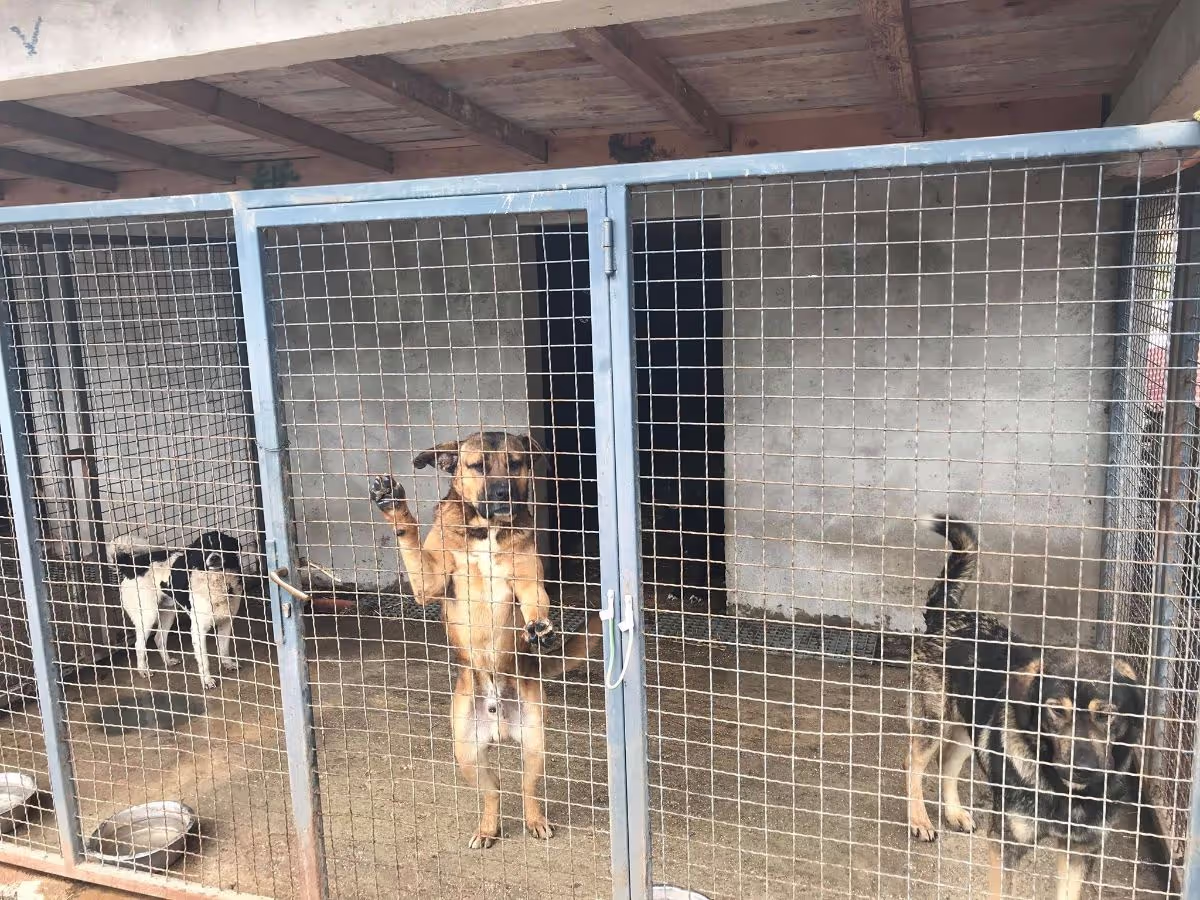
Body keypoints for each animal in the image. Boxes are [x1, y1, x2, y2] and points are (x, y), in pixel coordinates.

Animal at [112, 530, 243, 690]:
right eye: (202, 549)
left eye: (221, 545)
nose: (214, 558)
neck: (216, 580)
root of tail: (129, 565)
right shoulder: (198, 630)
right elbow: (204, 659)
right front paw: (207, 680)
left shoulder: (226, 621)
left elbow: (224, 648)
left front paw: (227, 664)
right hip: (148, 615)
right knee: (139, 645)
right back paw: (143, 671)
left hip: (168, 613)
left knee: (158, 638)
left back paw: (168, 662)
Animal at [369, 431, 601, 849]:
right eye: (477, 466)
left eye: (516, 463)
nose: (502, 492)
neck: (486, 530)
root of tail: (498, 721)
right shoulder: (429, 582)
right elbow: (412, 546)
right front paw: (395, 506)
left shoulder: (527, 581)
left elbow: (535, 601)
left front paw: (540, 627)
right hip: (466, 752)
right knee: (492, 790)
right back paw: (488, 827)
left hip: (535, 742)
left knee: (526, 787)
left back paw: (534, 821)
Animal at [907, 514, 1174, 899]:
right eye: (1056, 710)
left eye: (1107, 715)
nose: (1081, 769)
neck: (1065, 793)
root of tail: (949, 614)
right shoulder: (1006, 845)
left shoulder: (1079, 850)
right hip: (933, 719)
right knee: (914, 765)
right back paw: (919, 820)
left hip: (967, 728)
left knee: (948, 764)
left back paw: (955, 813)